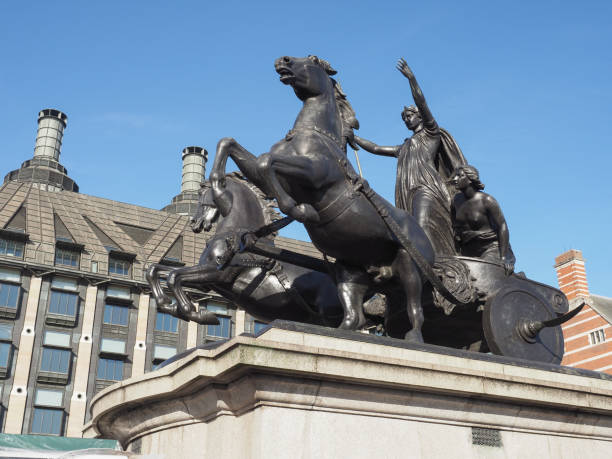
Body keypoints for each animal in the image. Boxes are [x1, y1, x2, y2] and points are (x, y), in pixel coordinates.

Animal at [210, 54, 436, 342]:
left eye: (313, 60)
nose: (282, 60)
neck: (312, 136)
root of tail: (427, 240)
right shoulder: (266, 178)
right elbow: (232, 145)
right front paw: (218, 186)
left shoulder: (315, 172)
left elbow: (266, 161)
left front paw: (301, 210)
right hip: (349, 270)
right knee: (354, 316)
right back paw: (334, 331)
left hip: (409, 265)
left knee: (414, 307)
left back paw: (414, 336)